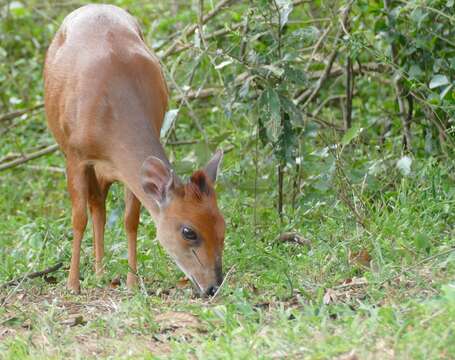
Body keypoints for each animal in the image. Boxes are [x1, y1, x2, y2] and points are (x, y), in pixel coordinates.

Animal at [43, 4, 225, 296]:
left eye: (222, 226)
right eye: (189, 231)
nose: (212, 287)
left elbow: (130, 219)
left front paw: (131, 282)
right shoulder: (76, 155)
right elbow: (78, 218)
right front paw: (72, 284)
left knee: (99, 204)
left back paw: (101, 271)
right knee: (94, 205)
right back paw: (95, 272)